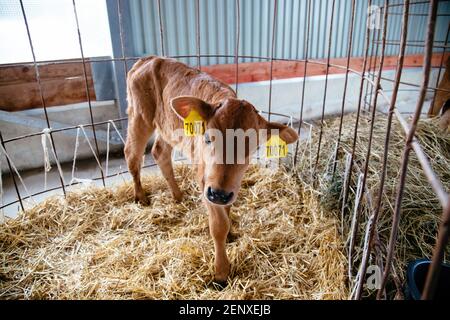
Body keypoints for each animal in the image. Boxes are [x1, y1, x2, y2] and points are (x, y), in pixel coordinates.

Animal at [124, 56, 298, 284]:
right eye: (207, 138)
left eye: (251, 148)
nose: (218, 194)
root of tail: (149, 59)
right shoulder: (205, 181)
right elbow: (218, 226)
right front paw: (221, 272)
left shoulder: (230, 188)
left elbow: (228, 210)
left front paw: (231, 232)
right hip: (139, 116)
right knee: (132, 154)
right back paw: (141, 196)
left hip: (167, 126)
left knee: (160, 152)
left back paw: (178, 195)